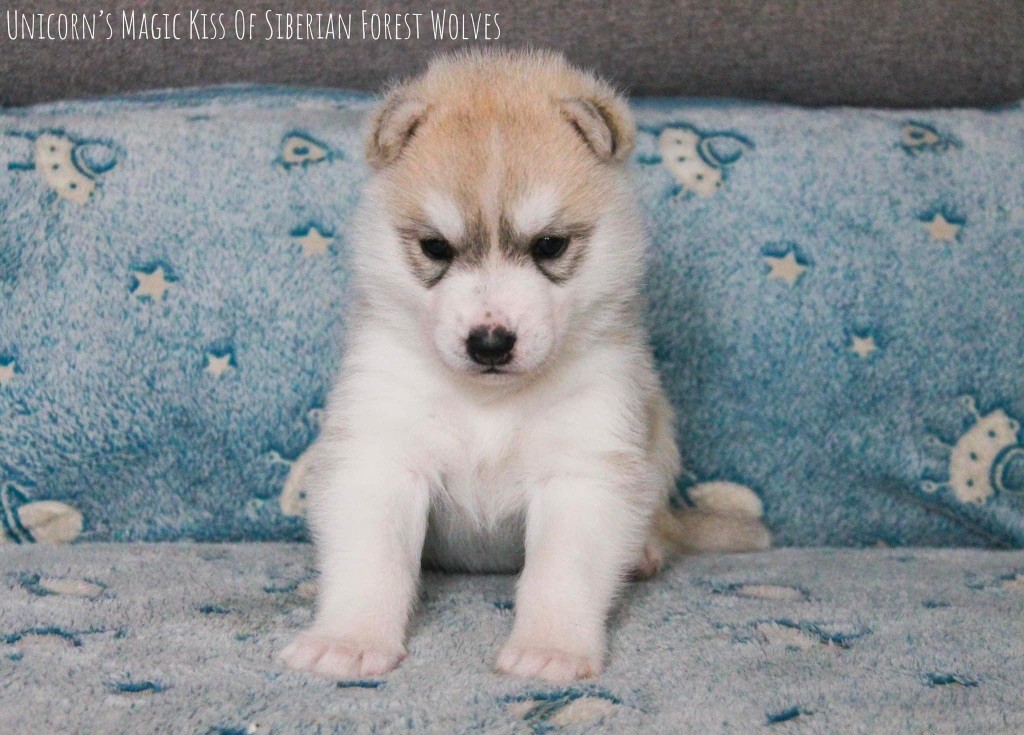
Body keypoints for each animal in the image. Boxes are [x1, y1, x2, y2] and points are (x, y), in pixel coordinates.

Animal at [282, 50, 770, 683]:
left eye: (550, 245)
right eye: (436, 248)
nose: (490, 343)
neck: (491, 404)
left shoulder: (582, 470)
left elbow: (559, 573)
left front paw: (550, 648)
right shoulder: (381, 455)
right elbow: (372, 562)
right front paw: (348, 637)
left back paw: (642, 551)